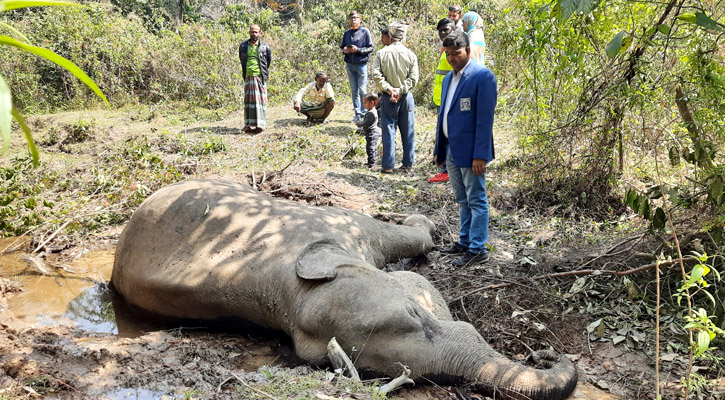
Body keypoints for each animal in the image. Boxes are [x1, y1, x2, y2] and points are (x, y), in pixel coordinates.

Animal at [111, 180, 576, 398]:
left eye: (416, 313)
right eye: (390, 374)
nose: (545, 353)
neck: (289, 297)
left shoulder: (329, 222)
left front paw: (419, 223)